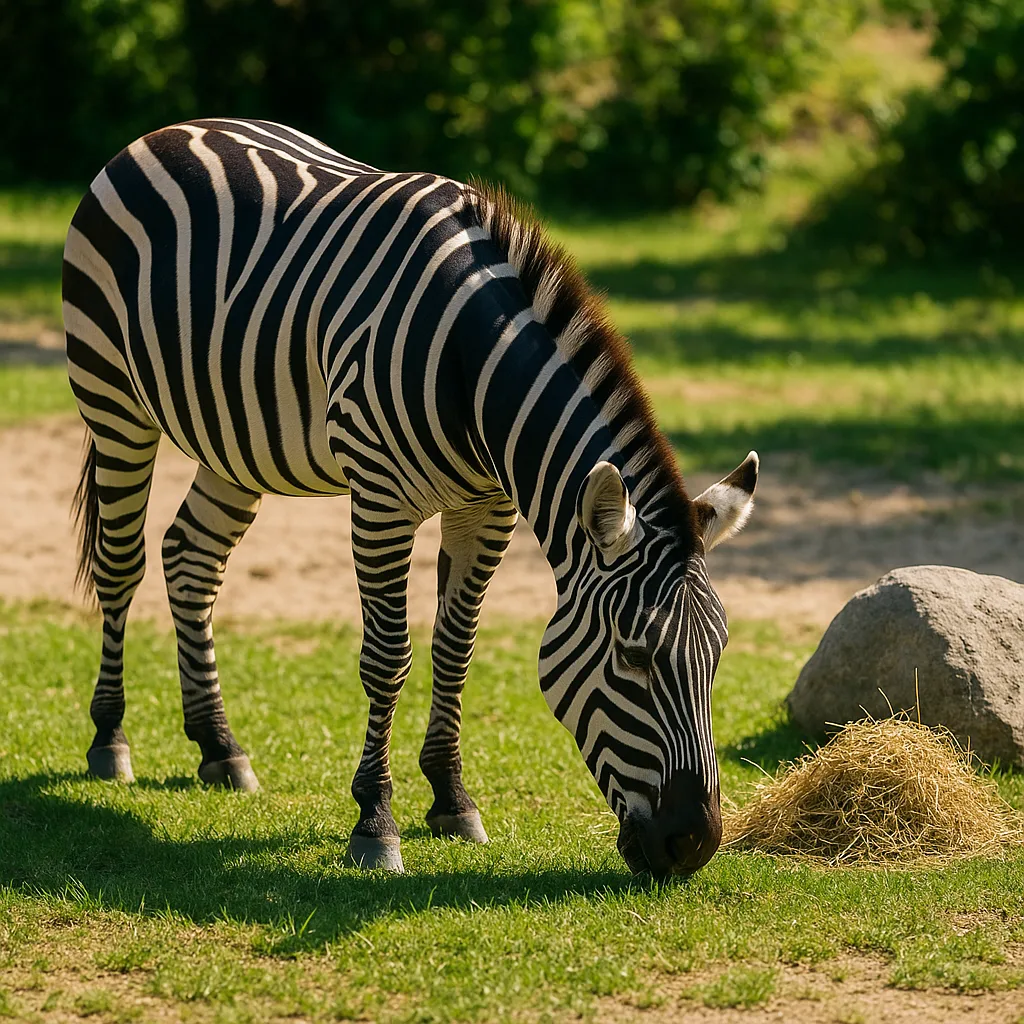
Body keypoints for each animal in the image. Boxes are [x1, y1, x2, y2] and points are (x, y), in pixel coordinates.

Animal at [62, 118, 758, 878]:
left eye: (718, 655)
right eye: (633, 657)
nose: (695, 843)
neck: (472, 364)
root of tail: (175, 129)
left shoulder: (486, 509)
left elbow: (455, 648)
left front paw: (452, 800)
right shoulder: (380, 499)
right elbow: (388, 656)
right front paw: (375, 821)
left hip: (235, 441)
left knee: (190, 559)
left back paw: (220, 747)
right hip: (113, 400)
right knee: (120, 564)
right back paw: (109, 739)